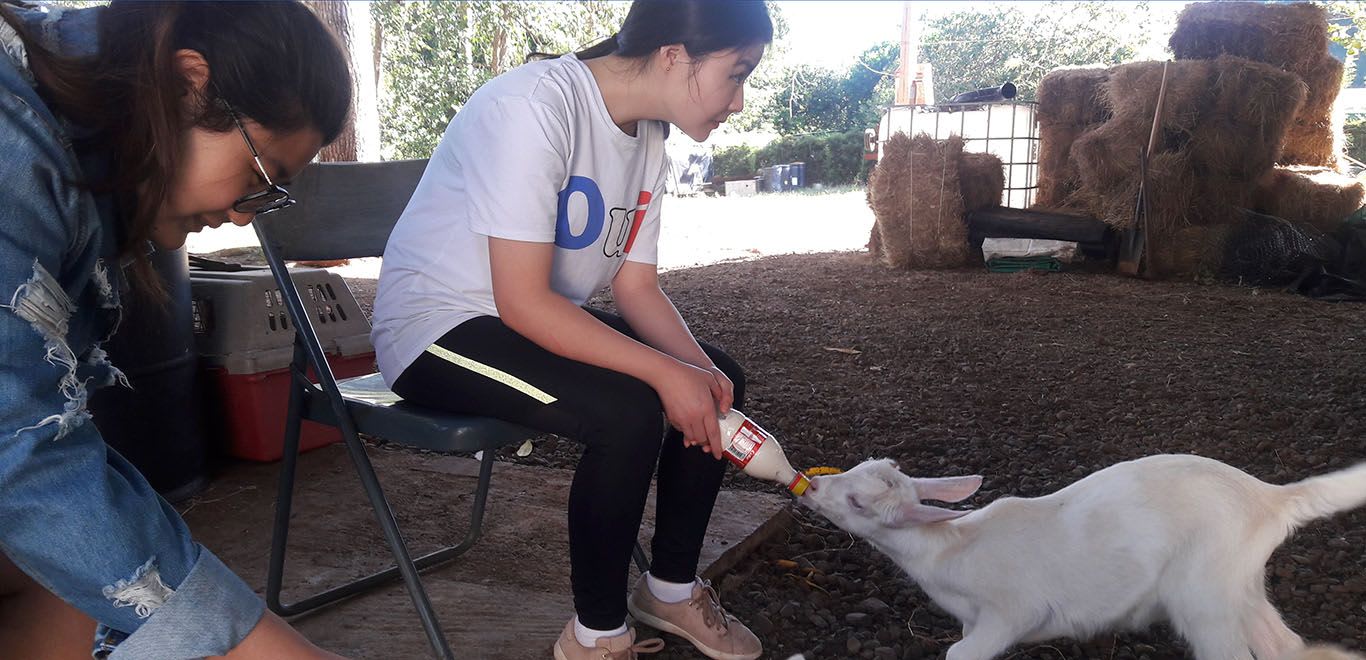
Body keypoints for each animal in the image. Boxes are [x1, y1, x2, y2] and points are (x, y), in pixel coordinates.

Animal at [797, 453, 1366, 660]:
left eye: (857, 502)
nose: (811, 488)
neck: (948, 548)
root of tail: (1268, 500)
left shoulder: (1012, 612)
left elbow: (961, 654)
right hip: (1237, 585)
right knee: (1284, 645)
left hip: (1203, 596)